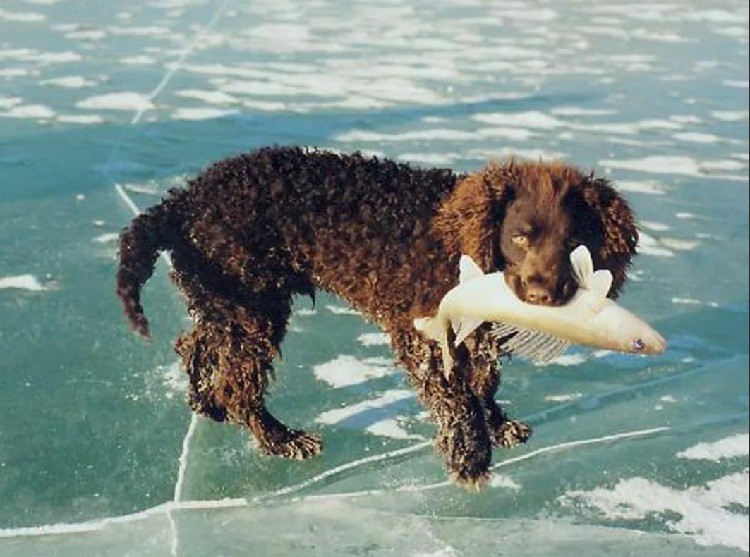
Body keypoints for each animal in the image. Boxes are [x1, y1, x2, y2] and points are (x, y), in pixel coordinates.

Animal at [117, 146, 640, 488]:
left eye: (575, 242)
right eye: (519, 237)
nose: (542, 294)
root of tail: (183, 201)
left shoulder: (477, 334)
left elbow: (484, 384)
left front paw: (497, 425)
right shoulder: (423, 336)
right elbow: (456, 400)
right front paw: (469, 457)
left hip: (228, 303)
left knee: (195, 344)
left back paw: (204, 400)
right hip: (252, 308)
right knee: (239, 383)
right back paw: (280, 439)